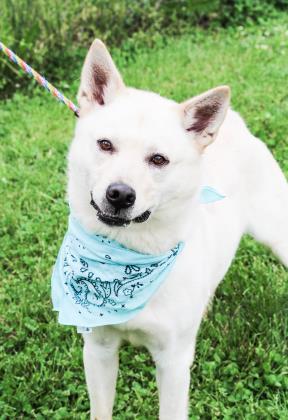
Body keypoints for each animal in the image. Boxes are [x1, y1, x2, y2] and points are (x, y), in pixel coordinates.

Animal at [53, 40, 286, 420]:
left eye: (158, 160)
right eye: (105, 144)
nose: (120, 194)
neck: (123, 256)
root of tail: (234, 123)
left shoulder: (173, 364)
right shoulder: (99, 350)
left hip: (278, 234)